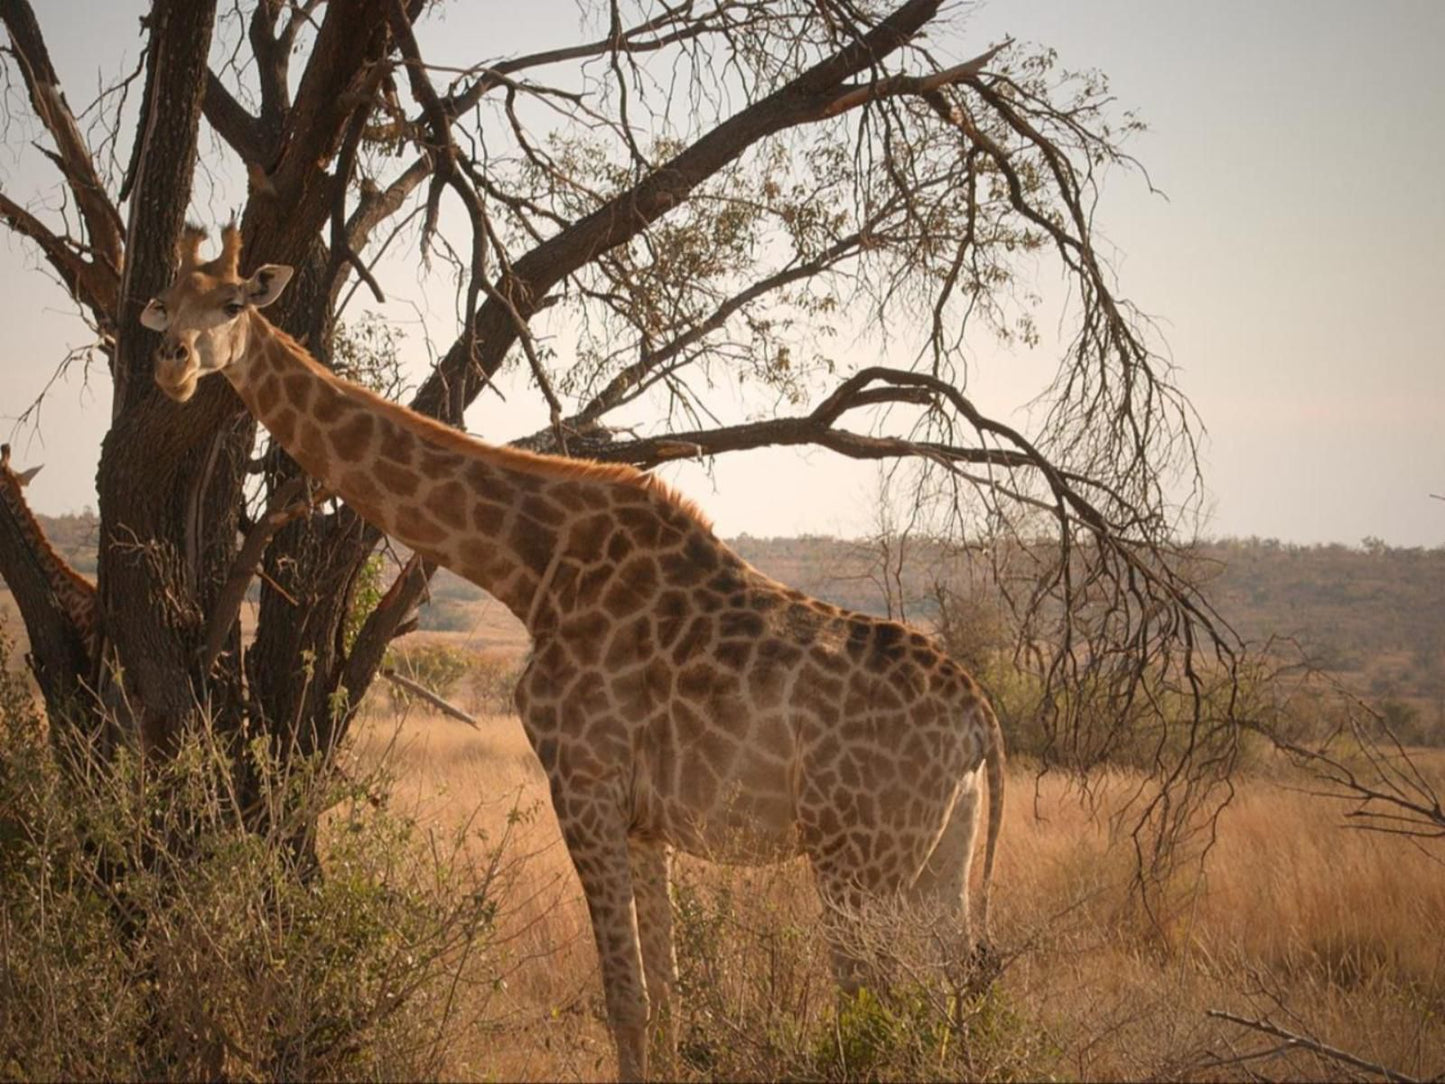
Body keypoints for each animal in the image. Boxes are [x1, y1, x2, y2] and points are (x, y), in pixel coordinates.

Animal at [143, 225, 1005, 1081]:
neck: (532, 567)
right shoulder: (645, 818)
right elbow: (669, 997)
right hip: (936, 854)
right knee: (945, 998)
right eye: (166, 302)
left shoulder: (581, 779)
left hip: (856, 856)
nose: (172, 365)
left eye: (231, 303)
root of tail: (979, 720)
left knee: (881, 1006)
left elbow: (625, 998)